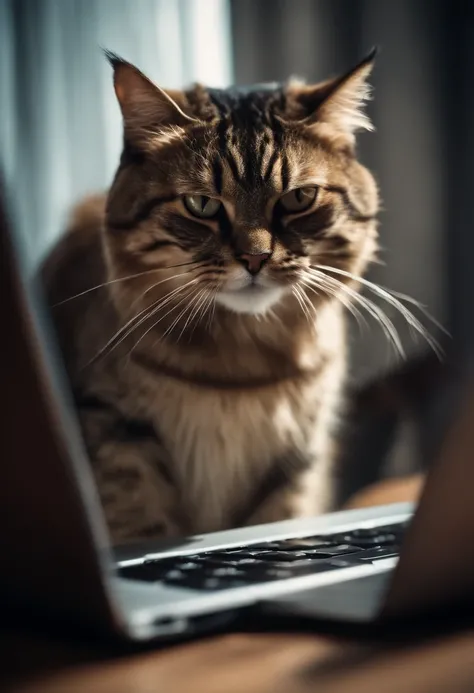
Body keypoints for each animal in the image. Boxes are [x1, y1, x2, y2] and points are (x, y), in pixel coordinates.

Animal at [42, 51, 380, 544]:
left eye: (299, 198)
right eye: (201, 205)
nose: (255, 257)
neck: (238, 367)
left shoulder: (293, 465)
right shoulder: (119, 438)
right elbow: (141, 521)